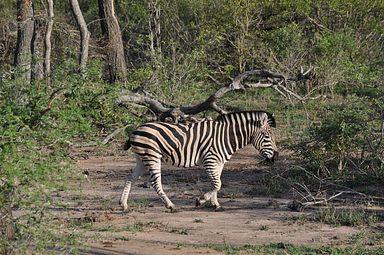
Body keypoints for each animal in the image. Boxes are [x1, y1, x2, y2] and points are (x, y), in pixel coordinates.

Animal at [118, 110, 278, 212]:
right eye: (267, 136)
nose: (276, 156)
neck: (227, 136)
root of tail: (136, 129)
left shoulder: (220, 162)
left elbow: (217, 183)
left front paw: (215, 204)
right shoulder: (210, 160)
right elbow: (217, 184)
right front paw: (201, 200)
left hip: (141, 158)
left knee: (130, 178)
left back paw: (123, 204)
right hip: (152, 156)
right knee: (155, 182)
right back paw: (170, 206)